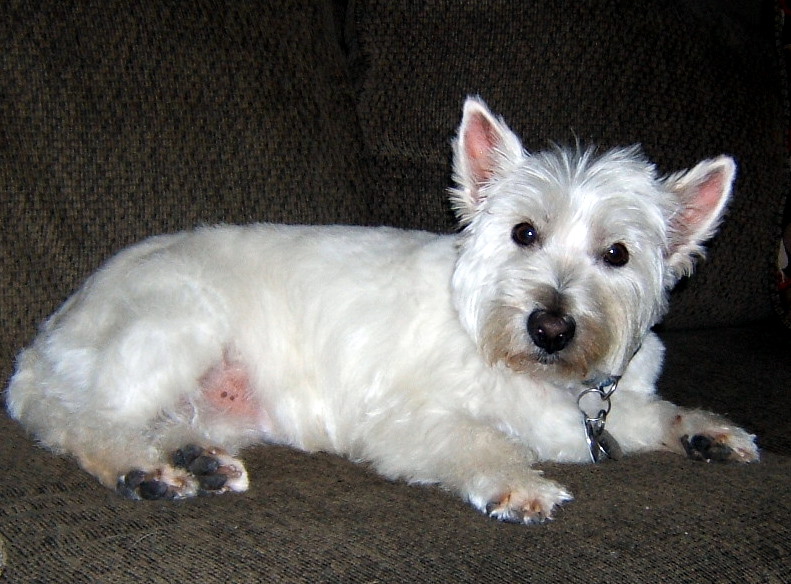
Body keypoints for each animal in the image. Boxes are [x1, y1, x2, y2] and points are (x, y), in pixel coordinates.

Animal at [7, 97, 760, 524]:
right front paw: (519, 484)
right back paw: (141, 470)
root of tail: (42, 341)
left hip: (215, 398)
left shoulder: (606, 403)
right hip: (175, 328)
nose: (550, 326)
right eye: (524, 233)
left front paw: (707, 431)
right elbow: (477, 440)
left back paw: (196, 459)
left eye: (617, 254)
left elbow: (654, 412)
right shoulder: (400, 418)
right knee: (79, 419)